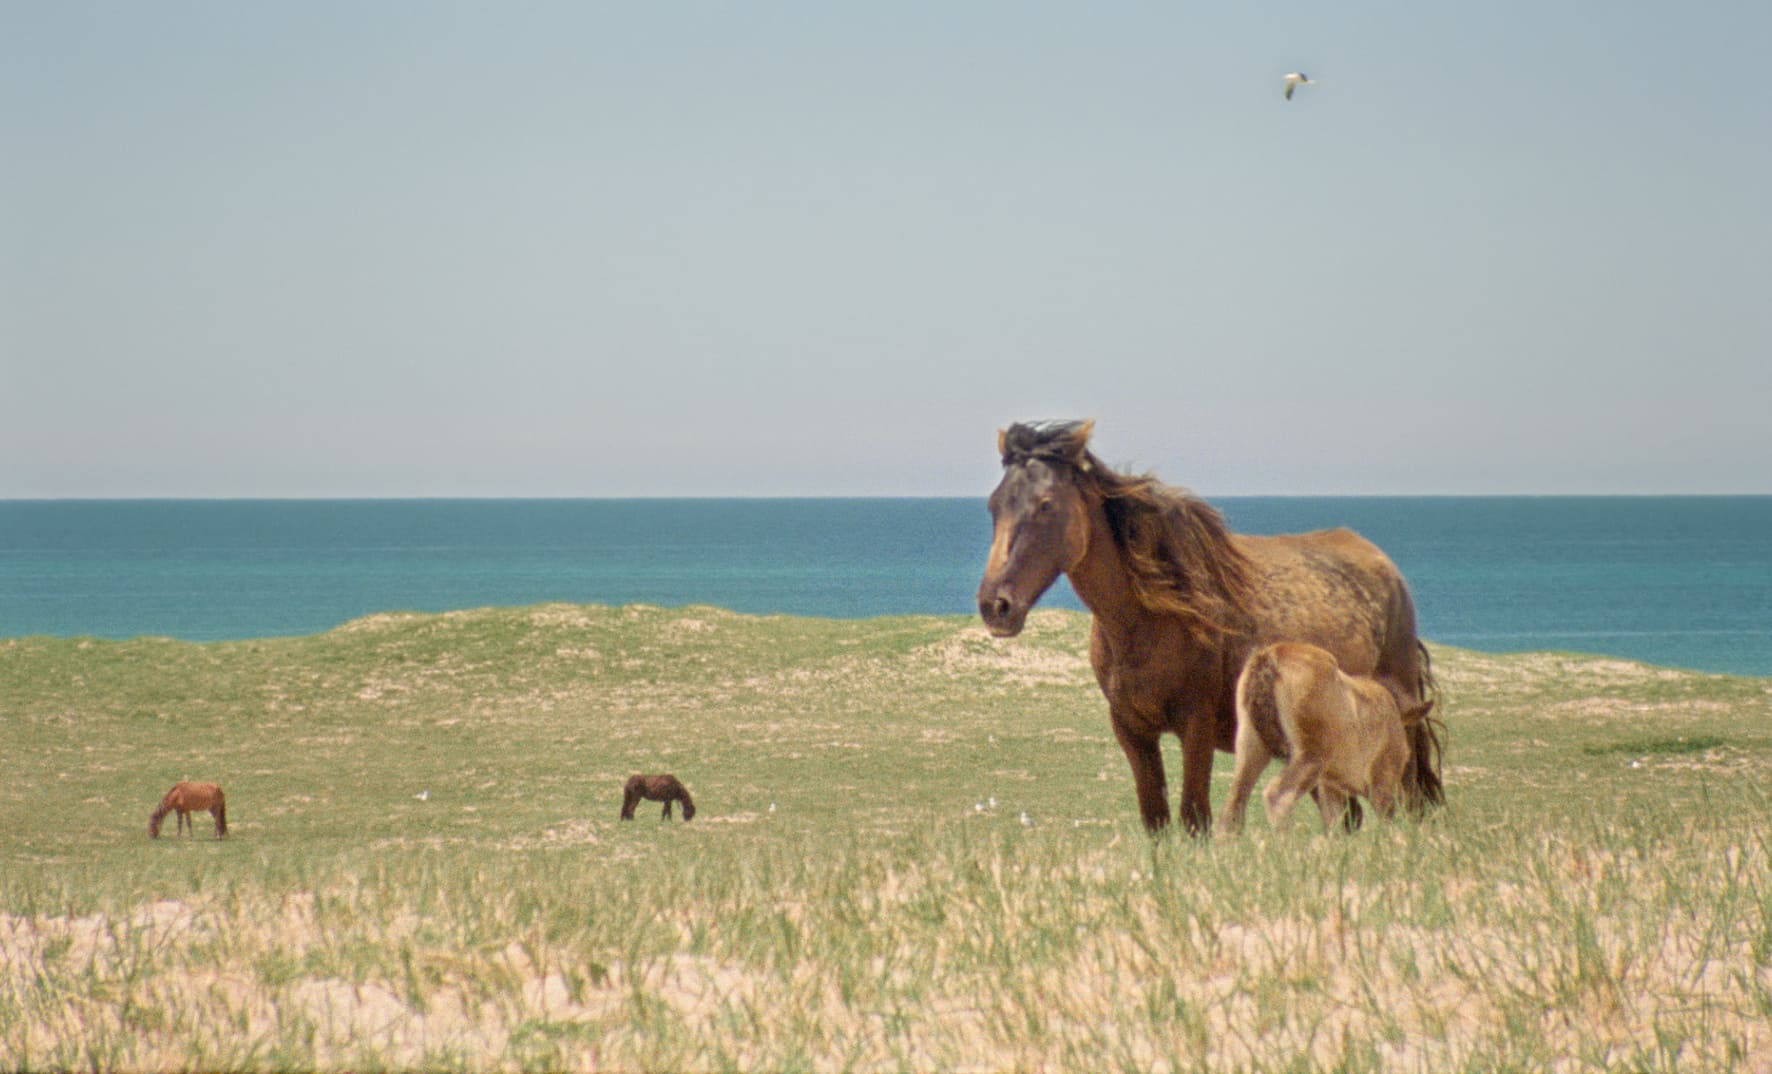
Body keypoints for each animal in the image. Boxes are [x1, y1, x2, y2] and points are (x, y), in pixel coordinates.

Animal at [1219, 645, 1438, 836]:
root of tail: (1269, 657)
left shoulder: (1331, 786)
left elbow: (1335, 824)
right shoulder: (1381, 780)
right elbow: (1385, 821)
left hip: (1251, 747)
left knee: (1234, 803)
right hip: (1310, 757)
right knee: (1278, 796)